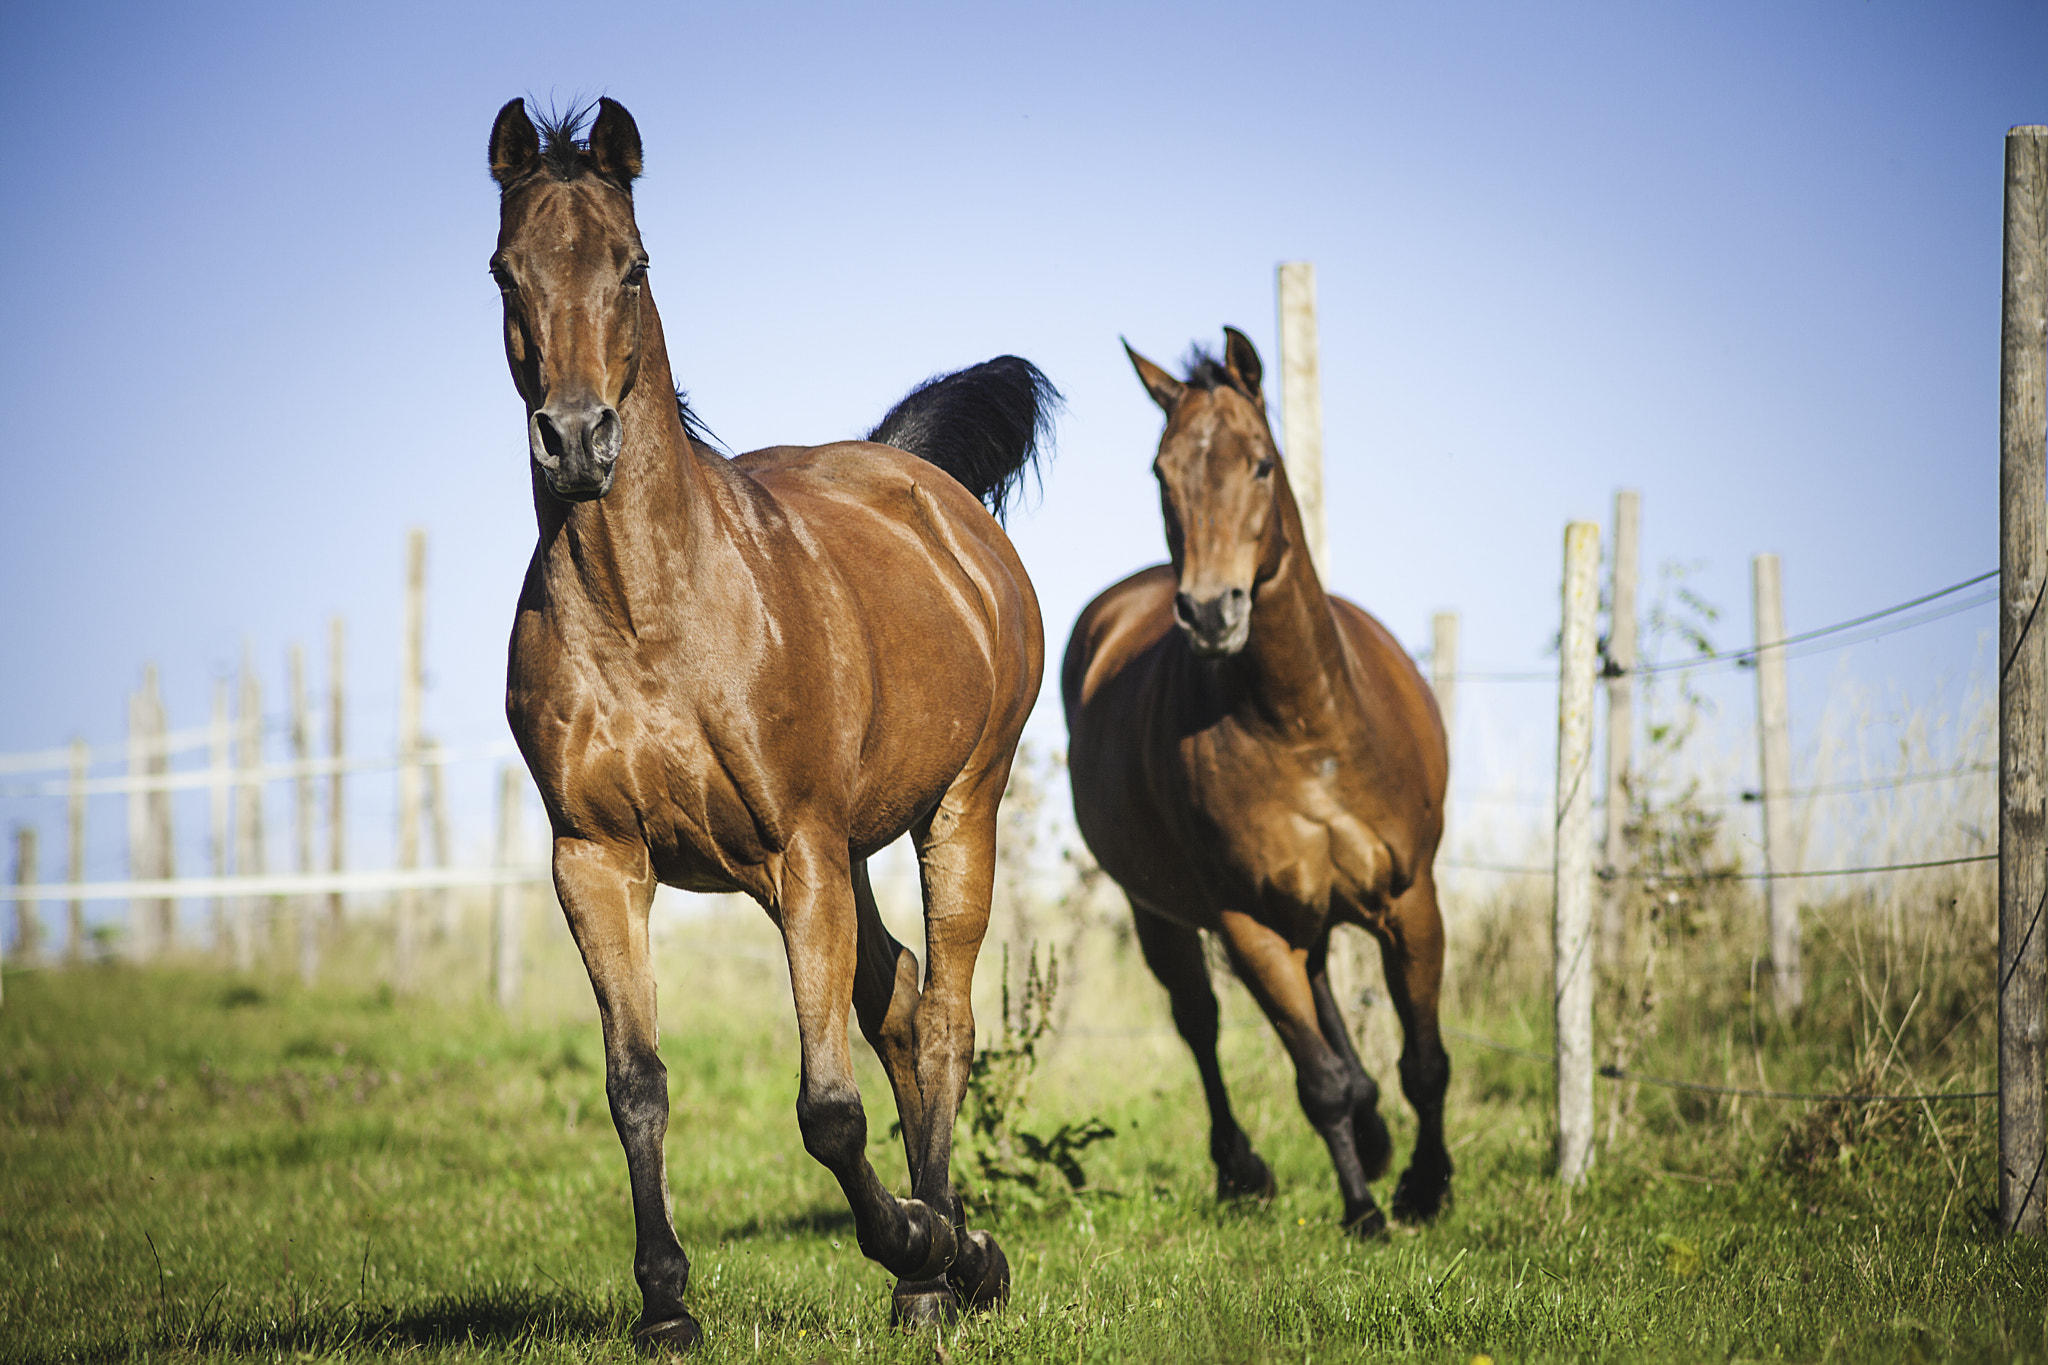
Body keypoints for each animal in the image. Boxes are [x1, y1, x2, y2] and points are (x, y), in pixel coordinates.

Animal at [487, 97, 1057, 1349]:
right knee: (898, 998)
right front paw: (664, 1309)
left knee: (941, 1020)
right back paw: (934, 1266)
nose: (576, 439)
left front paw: (923, 1241)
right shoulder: (596, 859)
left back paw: (949, 1265)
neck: (651, 617)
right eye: (504, 270)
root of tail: (926, 486)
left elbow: (828, 1110)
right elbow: (634, 1085)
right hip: (825, 856)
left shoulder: (798, 843)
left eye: (633, 264)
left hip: (955, 810)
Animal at [1061, 328, 1452, 1237]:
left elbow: (1424, 1061)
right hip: (1162, 912)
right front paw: (1364, 1210)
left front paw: (1426, 1186)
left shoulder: (1411, 897)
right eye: (1161, 471)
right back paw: (1244, 1169)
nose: (1211, 612)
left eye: (1263, 464)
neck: (1306, 727)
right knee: (1200, 1022)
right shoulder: (1248, 923)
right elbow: (1319, 1080)